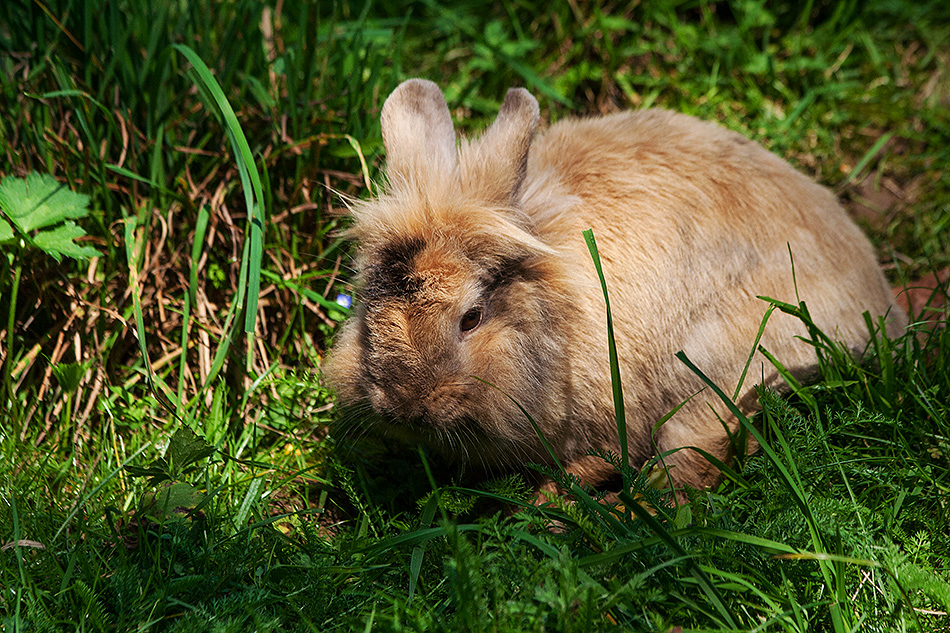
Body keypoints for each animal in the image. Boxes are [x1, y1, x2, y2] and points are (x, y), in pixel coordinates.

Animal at [324, 79, 912, 492]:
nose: (402, 405)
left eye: (471, 318)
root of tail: (880, 309)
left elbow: (592, 465)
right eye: (368, 305)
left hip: (716, 374)